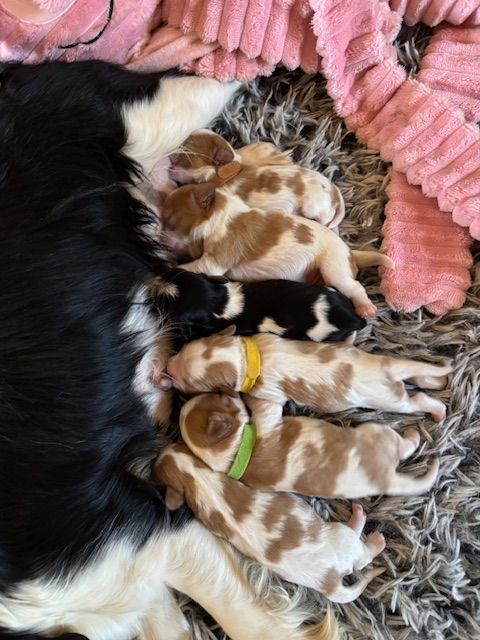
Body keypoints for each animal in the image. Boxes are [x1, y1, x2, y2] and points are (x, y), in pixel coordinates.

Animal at [152, 268, 366, 342]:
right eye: (173, 272)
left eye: (165, 302)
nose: (156, 279)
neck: (221, 302)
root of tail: (352, 319)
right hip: (331, 291)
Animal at [155, 443, 387, 603]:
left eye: (175, 444)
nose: (158, 452)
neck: (195, 477)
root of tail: (330, 584)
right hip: (343, 538)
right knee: (362, 557)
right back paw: (369, 529)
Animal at [161, 182, 394, 317]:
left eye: (169, 219)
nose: (159, 234)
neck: (221, 214)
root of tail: (350, 252)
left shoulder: (214, 262)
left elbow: (189, 266)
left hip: (334, 268)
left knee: (355, 287)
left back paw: (366, 307)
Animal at [163, 330, 451, 424]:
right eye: (184, 349)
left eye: (190, 383)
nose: (168, 365)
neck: (247, 357)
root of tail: (388, 366)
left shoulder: (267, 396)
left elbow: (266, 414)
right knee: (420, 377)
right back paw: (438, 381)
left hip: (388, 399)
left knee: (415, 402)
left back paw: (437, 410)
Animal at [179, 393, 440, 498]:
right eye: (223, 399)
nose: (229, 390)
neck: (234, 453)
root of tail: (385, 480)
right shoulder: (267, 420)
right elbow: (265, 407)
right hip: (378, 431)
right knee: (404, 446)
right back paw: (413, 434)